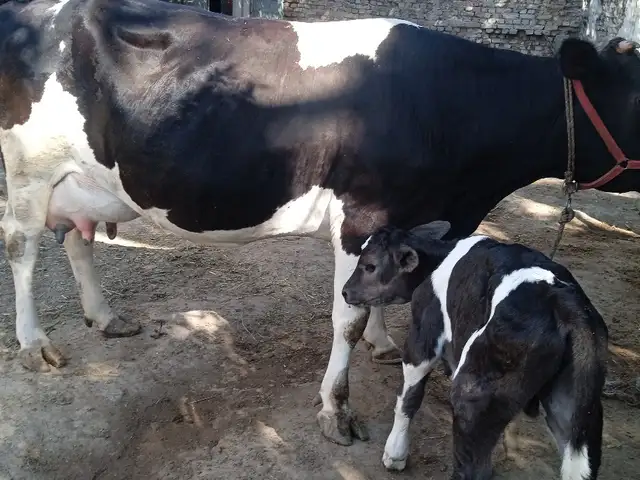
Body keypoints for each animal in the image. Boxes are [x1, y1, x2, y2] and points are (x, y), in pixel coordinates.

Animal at [0, 0, 638, 447]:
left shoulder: (404, 218)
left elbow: (388, 288)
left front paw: (384, 343)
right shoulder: (362, 215)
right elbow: (347, 319)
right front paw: (337, 409)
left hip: (83, 179)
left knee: (75, 239)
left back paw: (106, 318)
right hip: (30, 171)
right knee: (22, 248)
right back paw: (35, 345)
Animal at [341, 221, 608, 480]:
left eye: (370, 266)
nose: (345, 291)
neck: (437, 260)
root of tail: (565, 303)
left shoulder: (422, 339)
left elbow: (408, 398)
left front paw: (395, 454)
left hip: (473, 393)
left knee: (473, 466)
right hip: (575, 410)